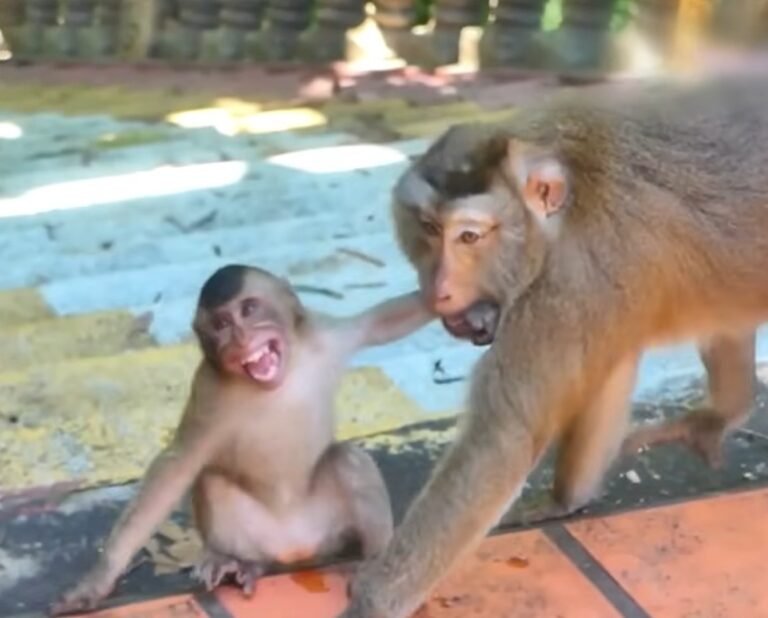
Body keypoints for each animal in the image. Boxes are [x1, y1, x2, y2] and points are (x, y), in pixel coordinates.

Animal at [50, 263, 434, 616]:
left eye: (249, 310)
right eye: (221, 325)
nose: (239, 338)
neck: (279, 382)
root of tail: (295, 550)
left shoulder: (325, 336)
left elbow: (379, 324)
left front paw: (439, 294)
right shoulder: (208, 390)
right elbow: (177, 465)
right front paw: (100, 577)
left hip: (330, 533)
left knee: (348, 458)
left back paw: (373, 560)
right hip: (262, 538)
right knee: (210, 479)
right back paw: (238, 563)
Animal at [338, 77, 768, 617]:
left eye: (470, 236)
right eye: (430, 229)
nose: (439, 290)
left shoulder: (566, 282)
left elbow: (502, 441)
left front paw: (374, 599)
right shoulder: (593, 290)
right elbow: (611, 368)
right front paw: (566, 500)